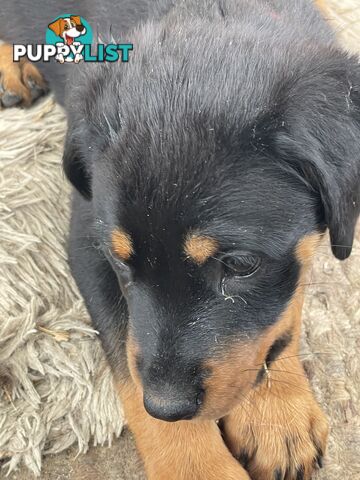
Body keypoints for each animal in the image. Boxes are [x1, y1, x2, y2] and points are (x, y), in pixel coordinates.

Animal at [0, 0, 360, 480]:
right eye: (120, 262)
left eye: (239, 265)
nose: (167, 405)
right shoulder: (87, 234)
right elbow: (127, 356)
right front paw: (197, 463)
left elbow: (281, 310)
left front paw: (275, 412)